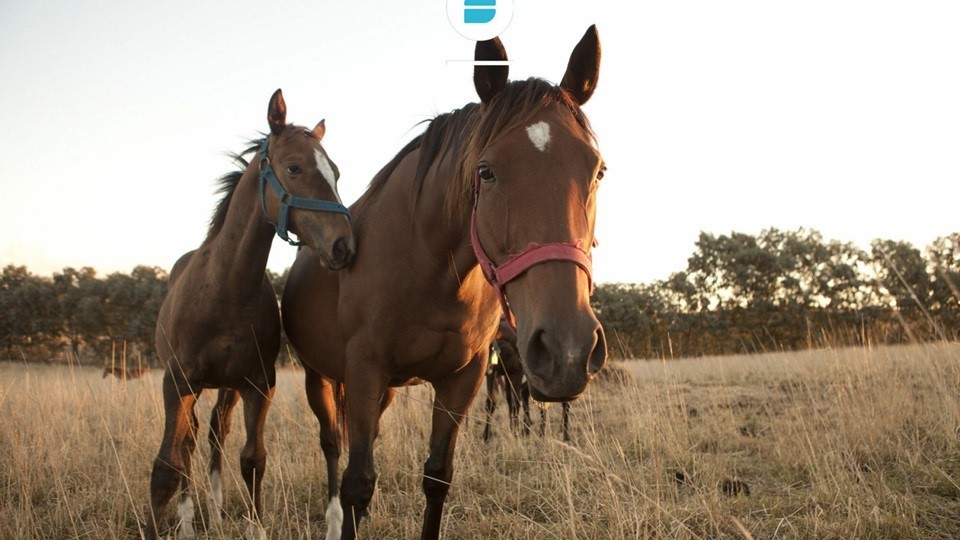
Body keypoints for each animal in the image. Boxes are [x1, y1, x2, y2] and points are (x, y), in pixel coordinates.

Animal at [148, 89, 358, 540]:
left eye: (334, 171)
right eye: (294, 167)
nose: (344, 246)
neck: (224, 290)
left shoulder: (258, 385)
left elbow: (253, 459)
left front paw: (255, 526)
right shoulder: (176, 383)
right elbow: (166, 467)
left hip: (227, 387)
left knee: (215, 432)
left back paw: (214, 508)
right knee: (189, 442)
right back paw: (190, 517)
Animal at [282, 26, 604, 540]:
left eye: (597, 170)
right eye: (486, 172)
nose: (567, 349)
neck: (429, 268)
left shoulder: (462, 379)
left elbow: (437, 476)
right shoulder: (365, 369)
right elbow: (357, 482)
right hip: (323, 377)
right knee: (334, 446)